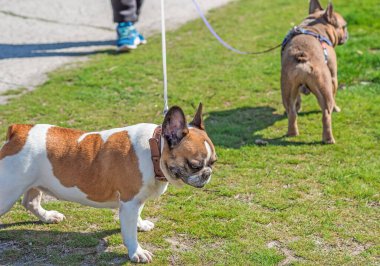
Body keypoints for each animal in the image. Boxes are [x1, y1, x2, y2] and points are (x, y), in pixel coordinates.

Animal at [282, 0, 348, 143]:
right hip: (324, 87)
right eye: (344, 26)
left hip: (288, 89)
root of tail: (303, 57)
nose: (347, 34)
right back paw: (328, 139)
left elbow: (297, 102)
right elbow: (334, 95)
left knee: (291, 111)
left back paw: (292, 133)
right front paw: (336, 108)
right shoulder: (333, 77)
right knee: (326, 114)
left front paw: (299, 107)